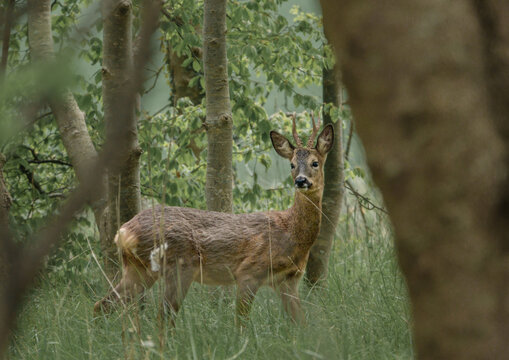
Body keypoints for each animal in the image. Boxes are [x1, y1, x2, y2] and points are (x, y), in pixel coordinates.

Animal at [94, 115, 334, 326]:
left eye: (315, 163)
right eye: (292, 164)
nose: (301, 181)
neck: (291, 232)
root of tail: (124, 231)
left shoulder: (288, 280)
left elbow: (301, 323)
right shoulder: (249, 271)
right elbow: (240, 324)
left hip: (139, 269)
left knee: (103, 304)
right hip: (179, 264)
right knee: (163, 318)